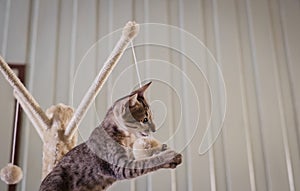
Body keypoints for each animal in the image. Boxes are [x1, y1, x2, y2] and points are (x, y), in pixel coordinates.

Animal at [38, 82, 182, 191]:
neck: (127, 138)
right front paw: (168, 156)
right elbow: (146, 162)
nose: (154, 129)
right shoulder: (121, 166)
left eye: (151, 118)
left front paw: (163, 149)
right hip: (57, 178)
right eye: (145, 119)